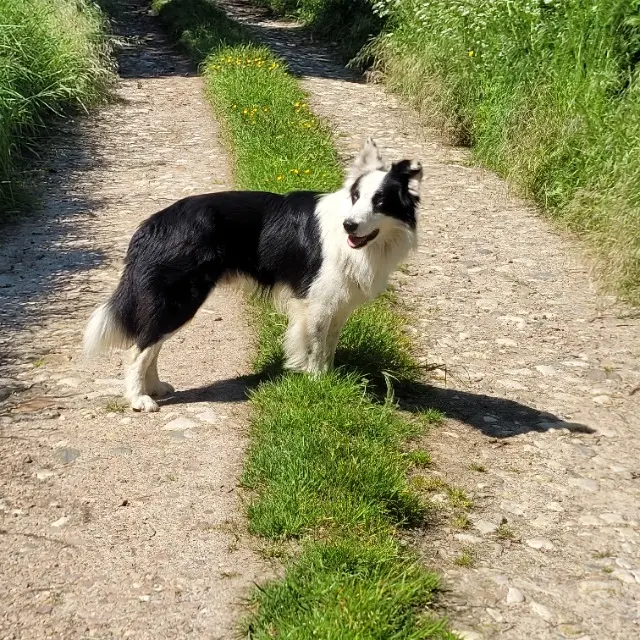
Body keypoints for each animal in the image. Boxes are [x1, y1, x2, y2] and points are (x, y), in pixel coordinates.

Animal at [84, 138, 424, 412]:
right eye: (355, 197)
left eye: (380, 202)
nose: (350, 225)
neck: (366, 245)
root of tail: (152, 225)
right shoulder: (314, 302)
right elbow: (314, 347)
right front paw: (317, 383)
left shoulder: (336, 303)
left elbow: (328, 346)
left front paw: (329, 380)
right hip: (180, 299)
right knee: (138, 349)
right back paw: (139, 399)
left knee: (151, 345)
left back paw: (155, 388)